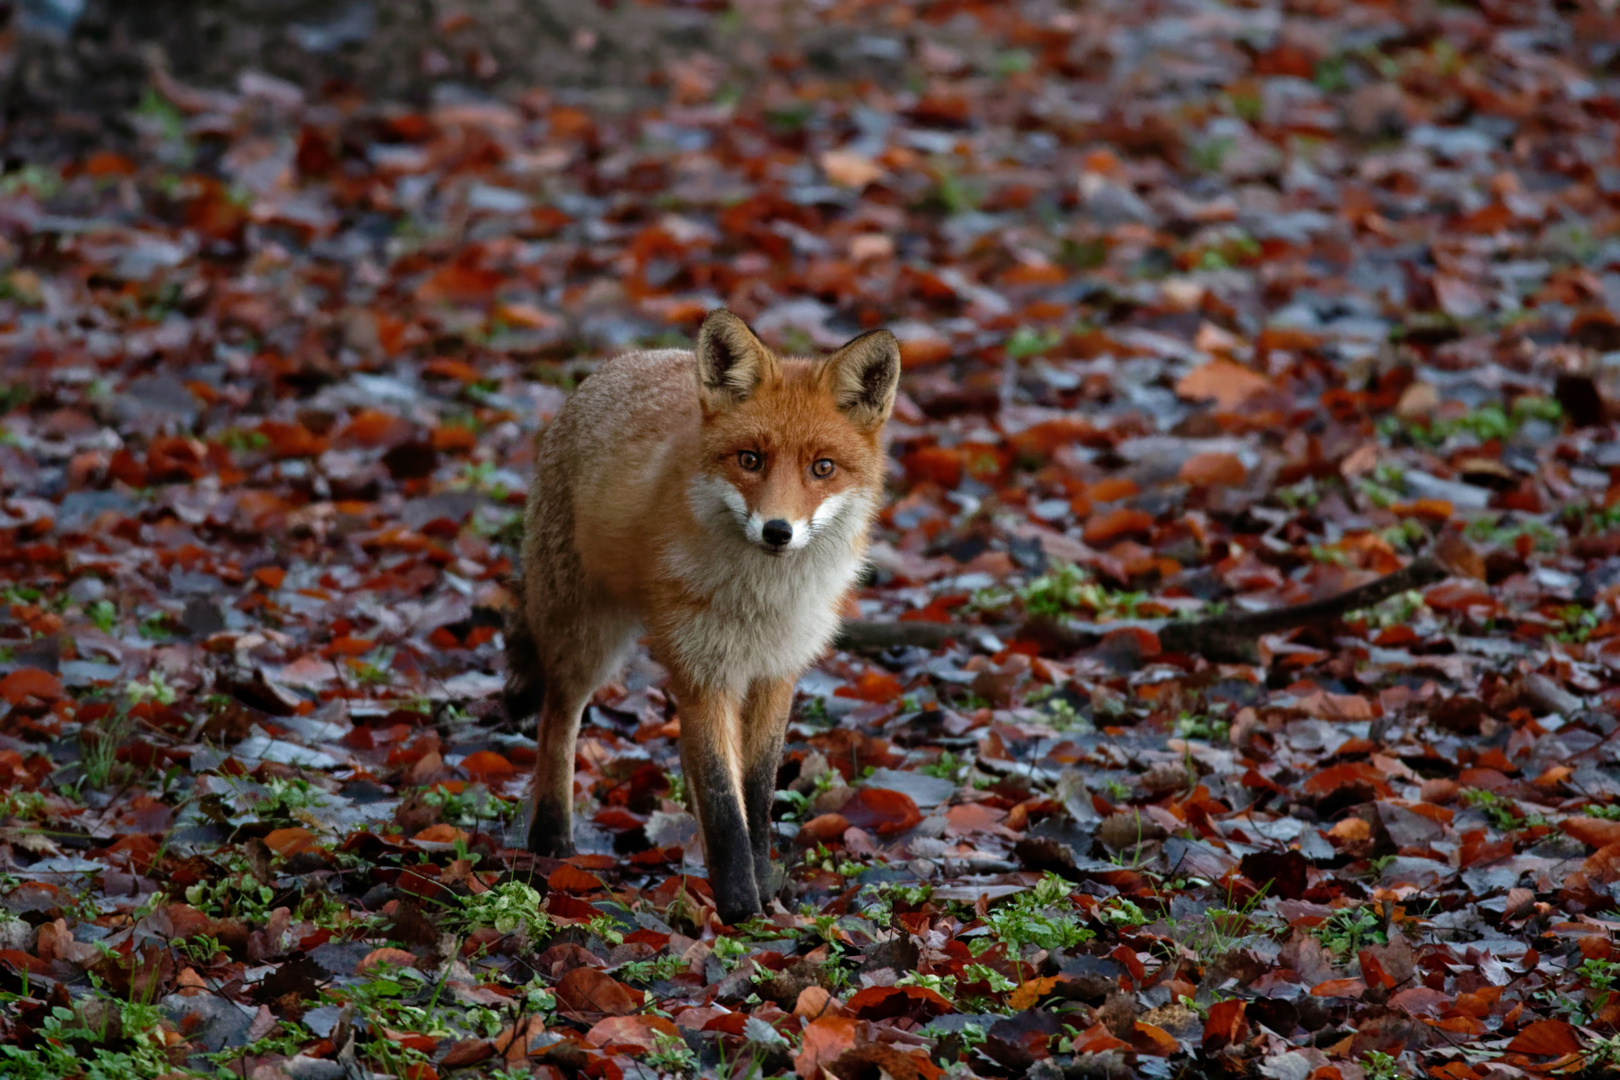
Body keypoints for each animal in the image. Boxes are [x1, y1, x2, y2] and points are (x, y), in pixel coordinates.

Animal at [502, 307, 900, 926]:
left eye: (823, 468)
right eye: (750, 460)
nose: (778, 531)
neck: (760, 602)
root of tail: (624, 362)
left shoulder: (774, 672)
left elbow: (753, 795)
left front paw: (761, 890)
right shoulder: (704, 672)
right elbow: (722, 800)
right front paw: (741, 909)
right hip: (589, 640)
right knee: (556, 721)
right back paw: (551, 839)